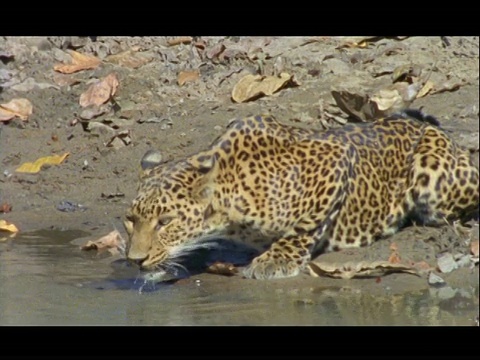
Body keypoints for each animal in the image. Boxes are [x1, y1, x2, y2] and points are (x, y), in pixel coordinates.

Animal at [124, 111, 480, 280]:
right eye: (130, 220)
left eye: (165, 221)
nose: (134, 260)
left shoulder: (334, 160)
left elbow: (303, 226)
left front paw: (276, 259)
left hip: (434, 176)